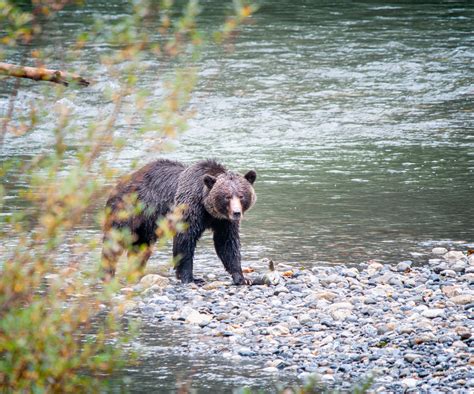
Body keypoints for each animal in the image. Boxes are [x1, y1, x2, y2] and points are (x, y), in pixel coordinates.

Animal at [102, 159, 258, 284]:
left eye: (241, 195)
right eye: (227, 196)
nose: (236, 212)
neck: (207, 209)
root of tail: (118, 184)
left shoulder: (223, 222)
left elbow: (227, 244)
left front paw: (242, 277)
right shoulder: (189, 208)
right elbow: (185, 240)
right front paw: (190, 277)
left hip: (146, 225)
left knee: (141, 247)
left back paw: (136, 273)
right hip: (127, 210)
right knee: (115, 241)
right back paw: (107, 274)